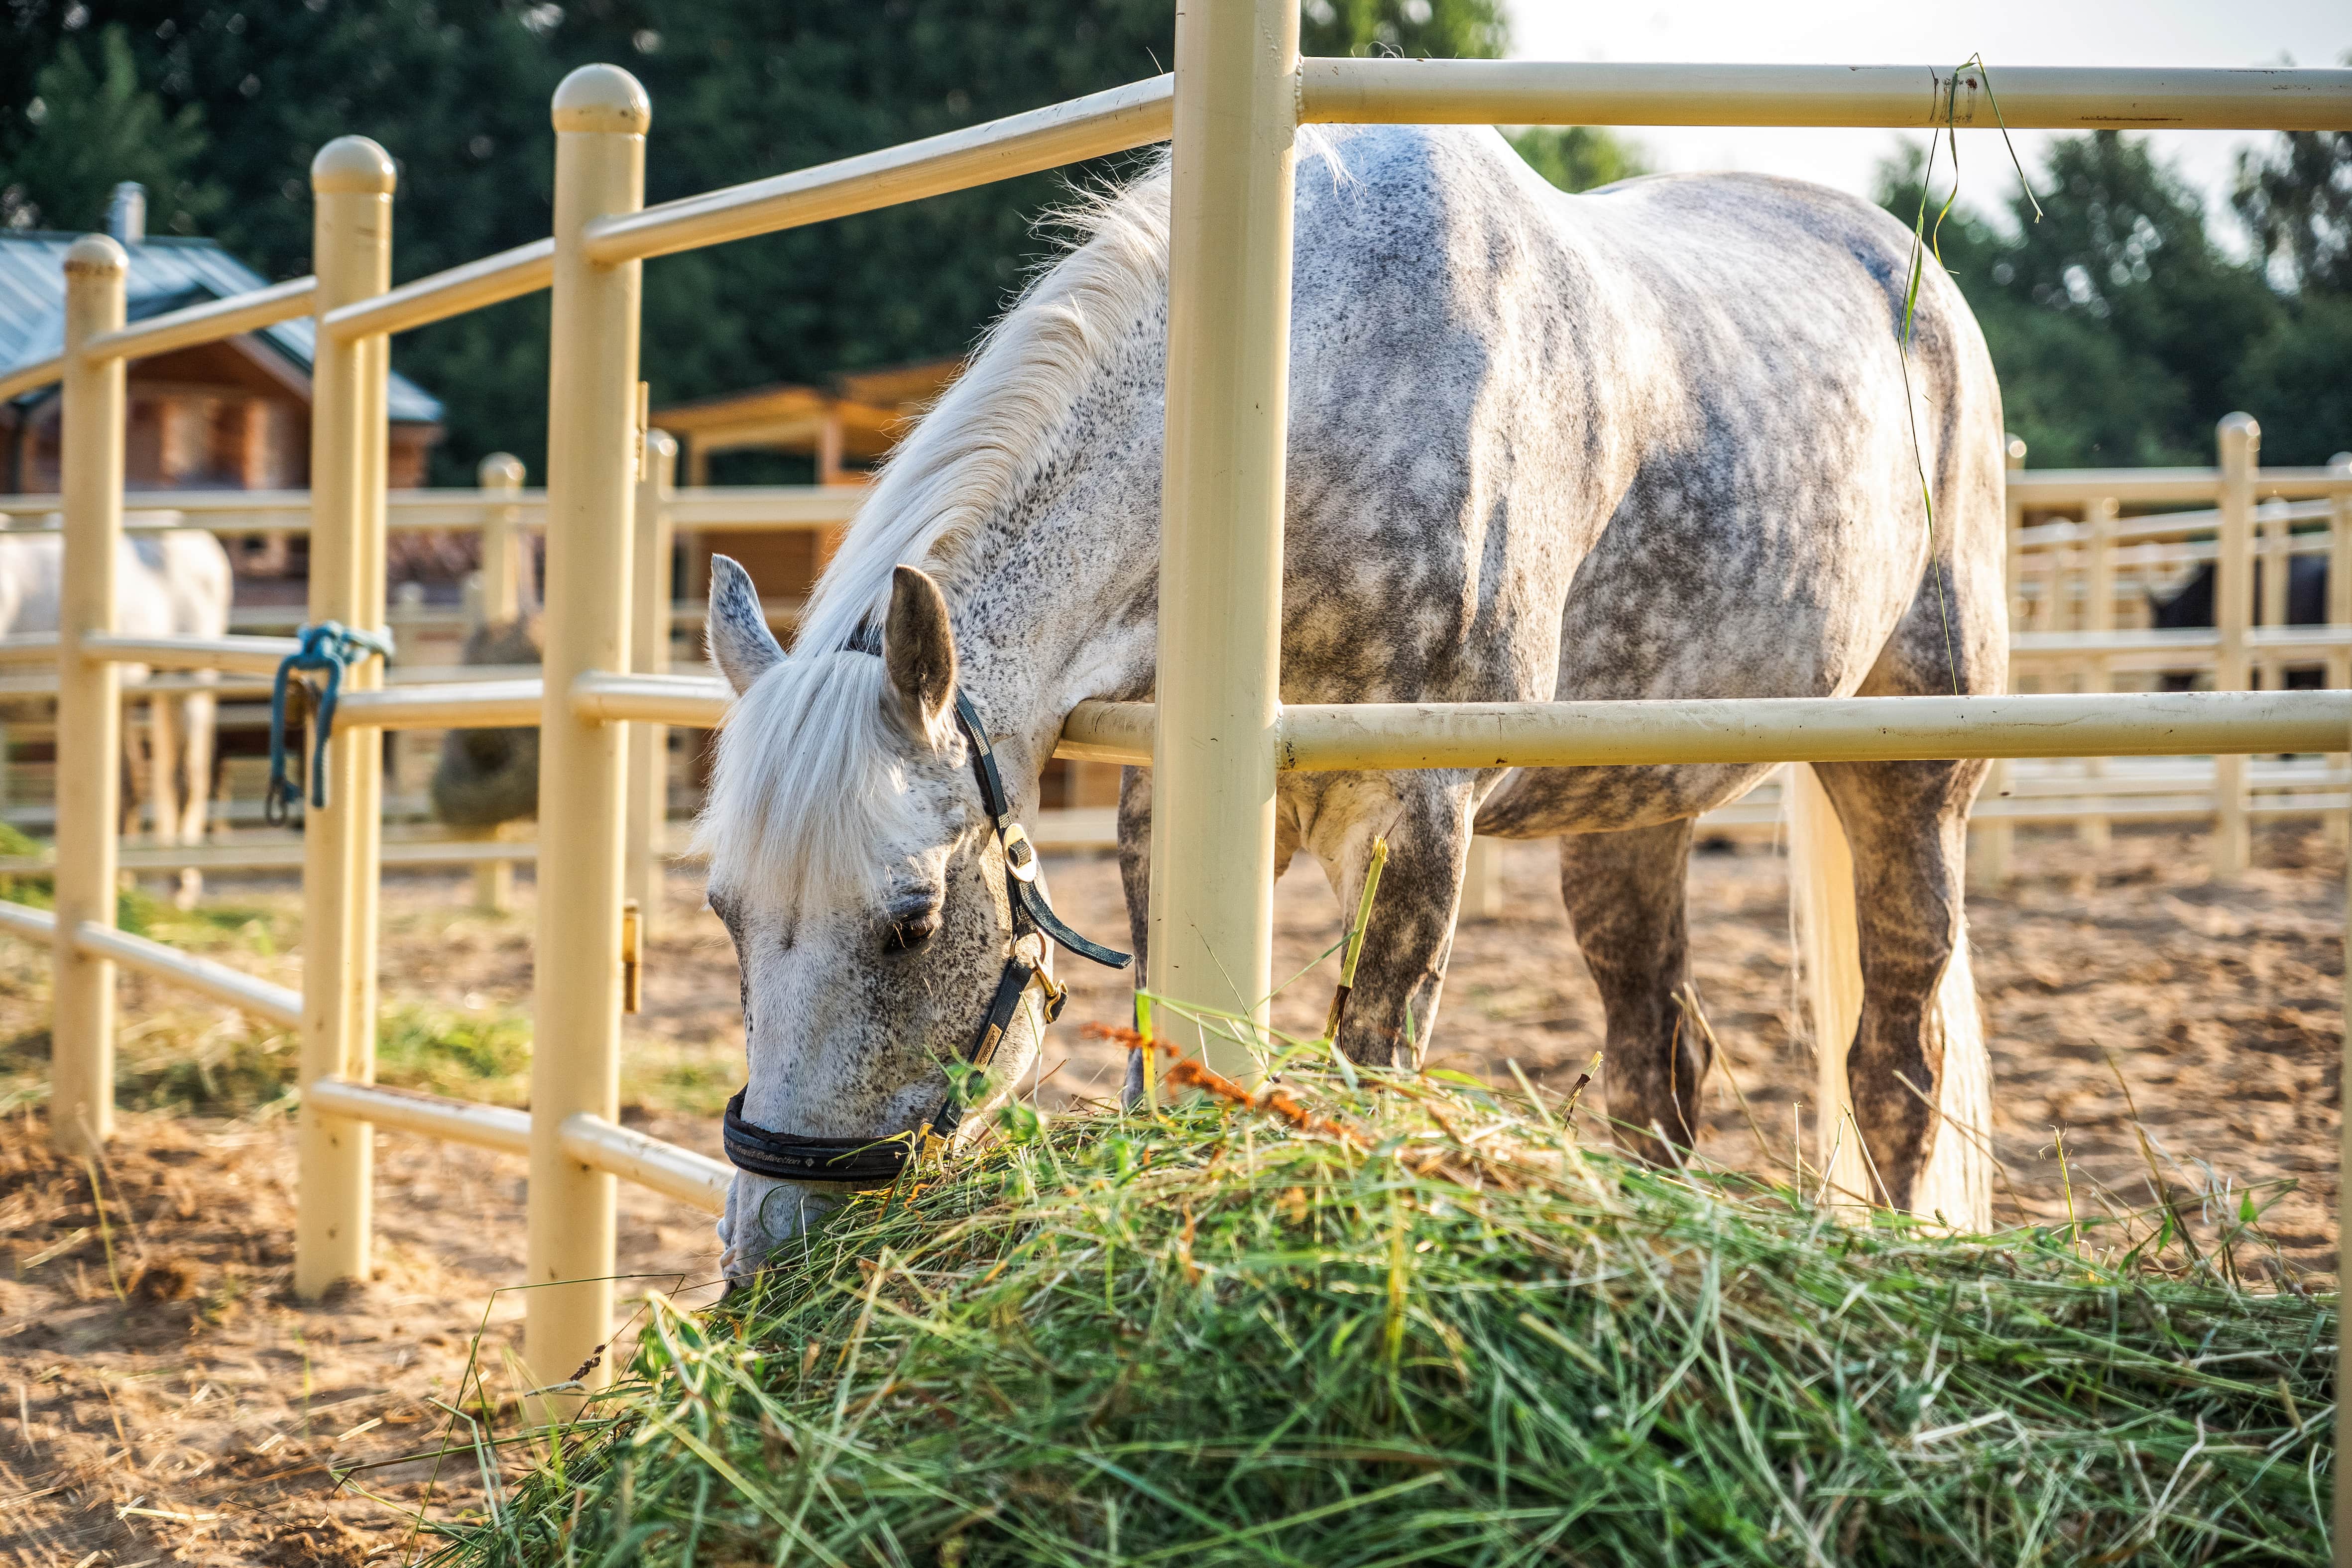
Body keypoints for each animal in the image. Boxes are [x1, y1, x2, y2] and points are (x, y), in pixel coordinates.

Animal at [0, 531, 235, 907]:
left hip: (184, 681)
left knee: (184, 781)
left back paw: (180, 885)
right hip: (125, 698)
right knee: (129, 784)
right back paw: (125, 879)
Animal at [696, 122, 2003, 1279]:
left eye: (912, 923)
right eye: (724, 912)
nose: (770, 1257)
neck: (1302, 399)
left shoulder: (1412, 823)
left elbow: (1367, 1083)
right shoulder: (1168, 815)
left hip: (1911, 782)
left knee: (1894, 1068)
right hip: (1630, 813)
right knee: (1655, 1066)